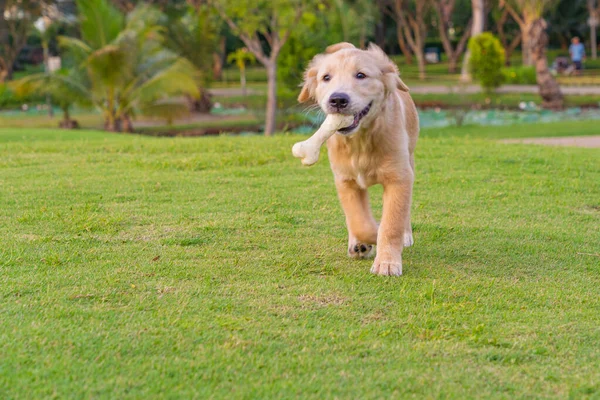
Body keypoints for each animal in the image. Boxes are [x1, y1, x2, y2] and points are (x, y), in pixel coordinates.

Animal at [298, 42, 420, 276]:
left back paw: (405, 235)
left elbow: (392, 221)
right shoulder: (345, 181)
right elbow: (358, 220)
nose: (337, 99)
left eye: (361, 75)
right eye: (326, 77)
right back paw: (357, 243)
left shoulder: (399, 177)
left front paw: (387, 262)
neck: (360, 141)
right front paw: (367, 239)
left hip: (409, 157)